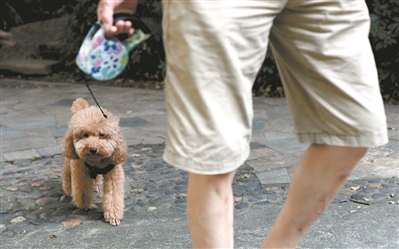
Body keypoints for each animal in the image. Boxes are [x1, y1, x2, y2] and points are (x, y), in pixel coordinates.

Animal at [61, 98, 127, 227]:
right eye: (85, 135)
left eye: (102, 135)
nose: (92, 149)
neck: (97, 161)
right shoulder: (80, 172)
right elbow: (82, 190)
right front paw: (84, 205)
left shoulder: (114, 173)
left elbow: (113, 195)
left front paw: (113, 215)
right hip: (70, 158)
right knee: (66, 173)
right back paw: (68, 188)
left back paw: (96, 185)